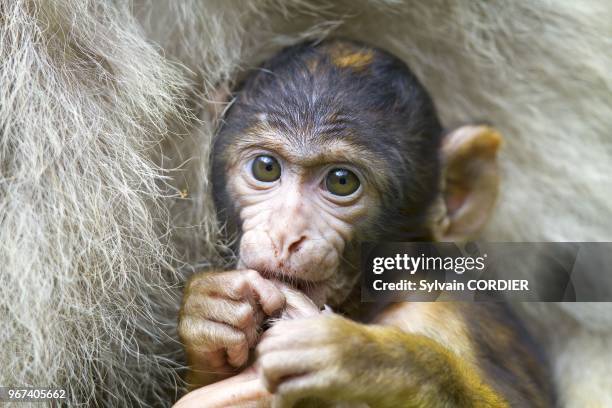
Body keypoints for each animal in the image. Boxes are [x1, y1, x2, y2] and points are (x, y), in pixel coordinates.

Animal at [178, 39, 556, 408]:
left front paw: (371, 361)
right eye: (266, 167)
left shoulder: (437, 320)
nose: (285, 235)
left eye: (341, 181)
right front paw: (210, 310)